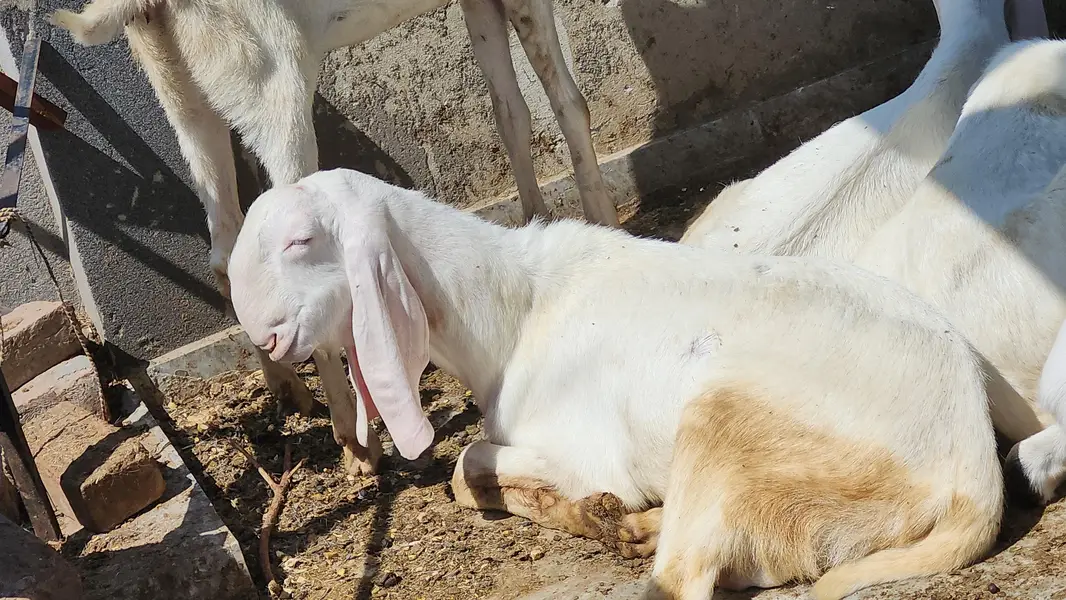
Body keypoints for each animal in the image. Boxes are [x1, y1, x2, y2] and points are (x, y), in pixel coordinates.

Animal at [49, 0, 619, 474]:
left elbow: (510, 112)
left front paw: (535, 226)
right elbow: (569, 101)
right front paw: (606, 224)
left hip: (181, 88)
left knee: (226, 244)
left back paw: (291, 392)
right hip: (270, 74)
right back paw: (357, 438)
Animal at [226, 167, 1039, 600]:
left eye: (301, 241)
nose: (263, 337)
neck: (515, 306)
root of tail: (973, 475)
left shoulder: (578, 444)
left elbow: (466, 467)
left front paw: (588, 505)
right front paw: (603, 512)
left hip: (728, 419)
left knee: (684, 577)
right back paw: (636, 524)